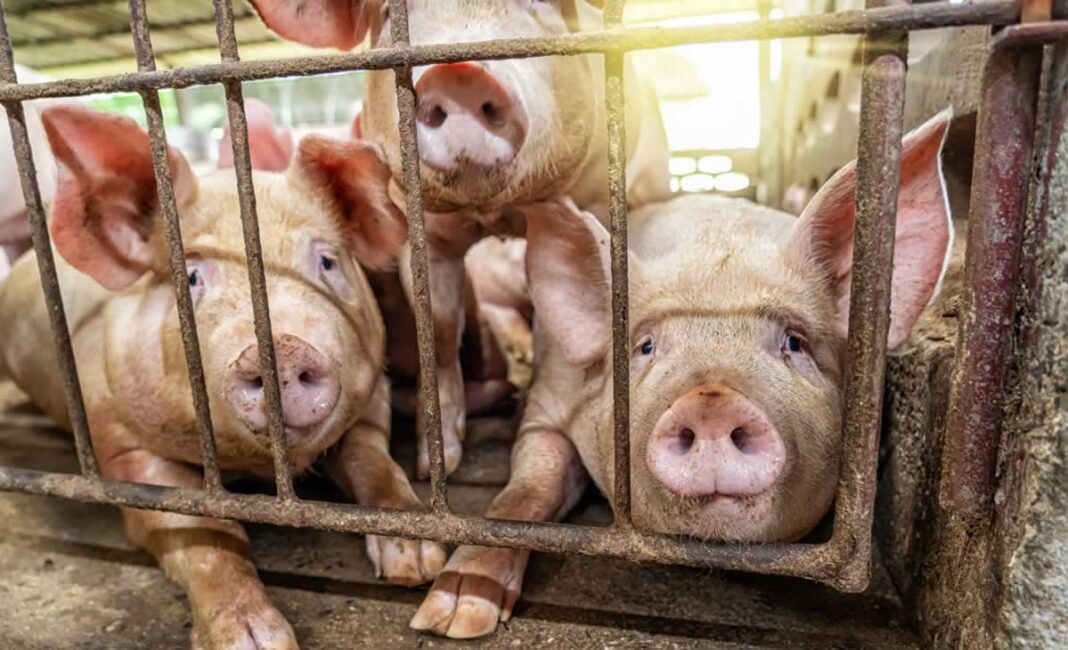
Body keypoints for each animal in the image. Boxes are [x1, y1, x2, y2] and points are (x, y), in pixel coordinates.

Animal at [0, 105, 448, 648]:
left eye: (326, 260)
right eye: (192, 277)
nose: (281, 348)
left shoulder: (372, 392)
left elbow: (372, 461)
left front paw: (418, 564)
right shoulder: (118, 439)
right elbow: (208, 536)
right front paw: (257, 639)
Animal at [249, 0, 672, 479]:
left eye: (544, 5)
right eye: (387, 14)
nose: (457, 75)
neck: (492, 215)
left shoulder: (596, 199)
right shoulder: (417, 228)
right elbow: (440, 327)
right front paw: (435, 465)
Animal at [408, 110, 955, 638]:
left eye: (794, 343)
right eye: (645, 347)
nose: (712, 401)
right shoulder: (550, 400)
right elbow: (527, 489)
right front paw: (452, 618)